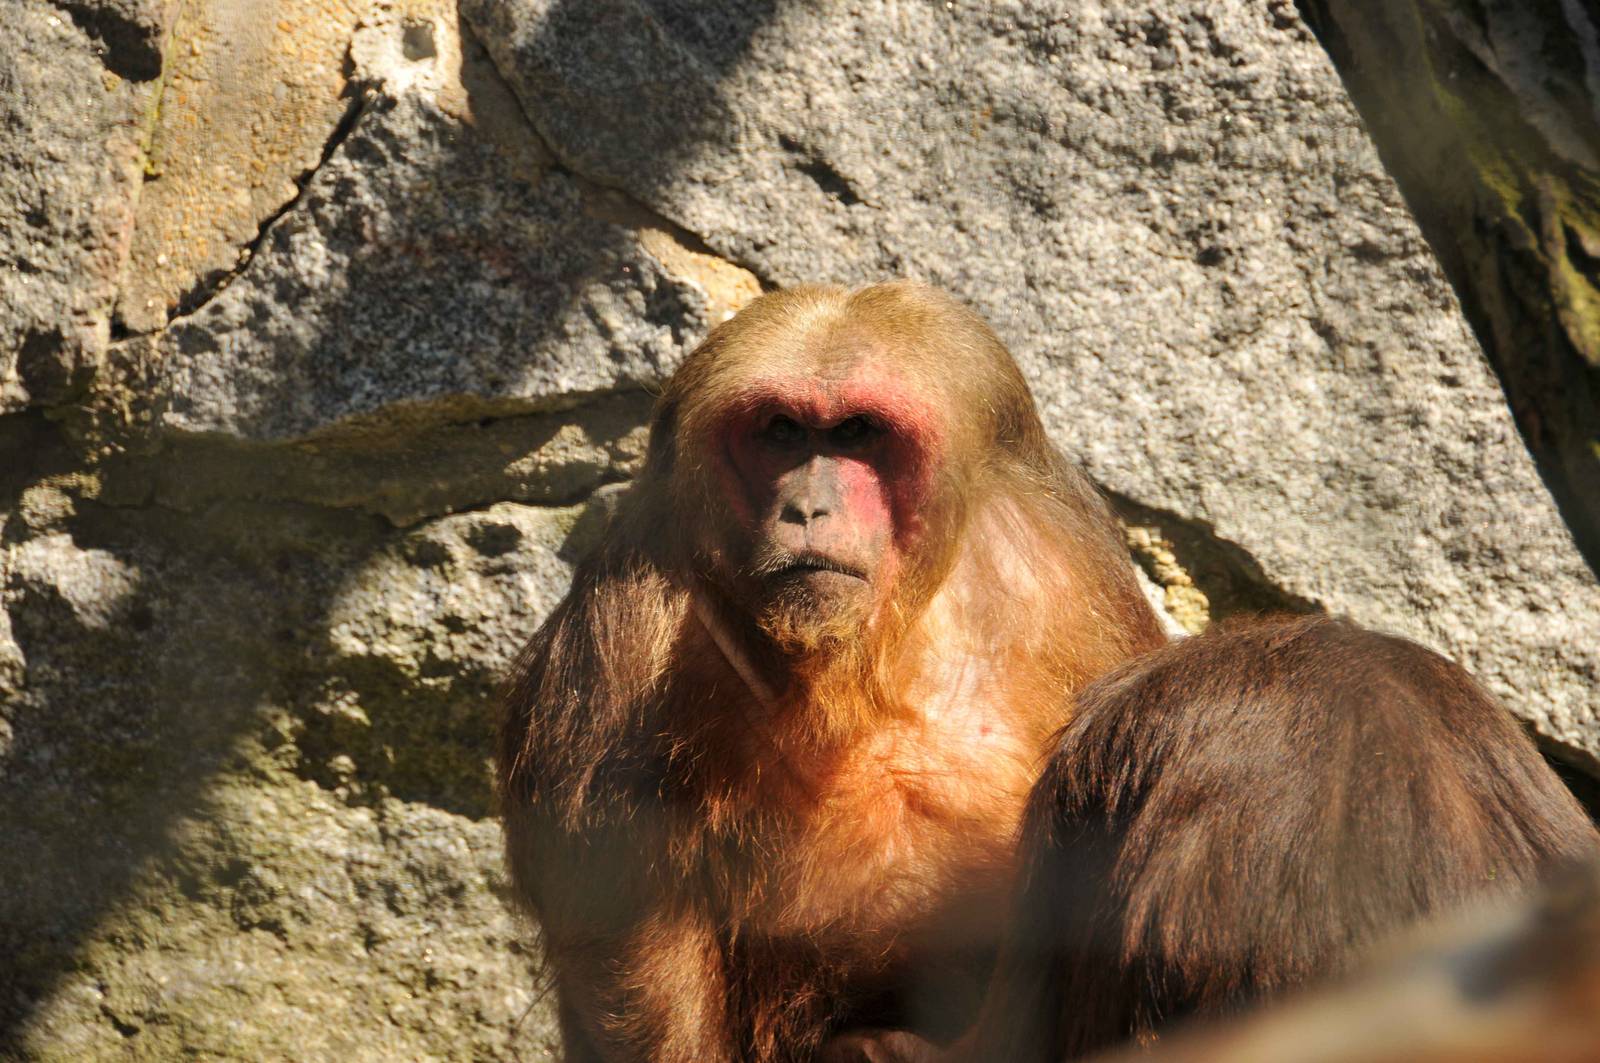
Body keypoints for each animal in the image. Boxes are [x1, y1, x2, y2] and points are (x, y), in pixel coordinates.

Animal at [496, 280, 1168, 1062]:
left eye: (855, 433)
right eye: (783, 431)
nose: (806, 507)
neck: (870, 646)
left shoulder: (1068, 568)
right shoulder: (629, 614)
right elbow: (626, 928)